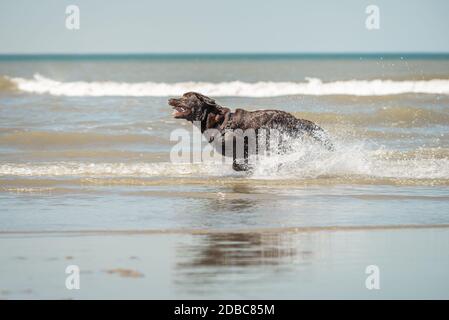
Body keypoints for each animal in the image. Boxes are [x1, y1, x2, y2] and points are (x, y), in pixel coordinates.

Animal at [169, 91, 332, 171]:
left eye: (185, 97)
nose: (170, 99)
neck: (218, 123)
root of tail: (295, 119)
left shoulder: (246, 144)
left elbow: (237, 165)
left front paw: (251, 167)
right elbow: (236, 164)